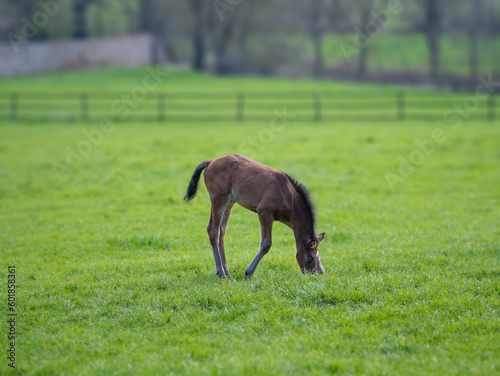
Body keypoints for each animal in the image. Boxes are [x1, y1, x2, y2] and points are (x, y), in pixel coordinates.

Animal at [184, 153, 324, 280]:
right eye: (309, 258)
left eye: (314, 256)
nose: (313, 274)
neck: (289, 196)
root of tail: (211, 162)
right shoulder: (264, 212)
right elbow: (266, 244)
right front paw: (248, 272)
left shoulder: (290, 221)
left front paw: (322, 269)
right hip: (219, 199)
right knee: (213, 231)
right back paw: (221, 274)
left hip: (230, 202)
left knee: (221, 232)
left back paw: (228, 274)